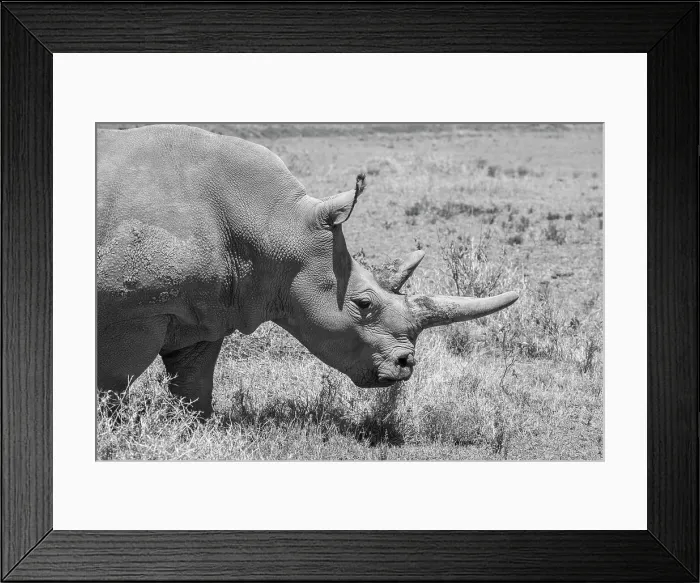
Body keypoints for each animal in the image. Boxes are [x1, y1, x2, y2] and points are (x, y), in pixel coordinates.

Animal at [97, 124, 518, 417]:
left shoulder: (207, 310)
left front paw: (195, 431)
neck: (274, 224)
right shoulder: (133, 311)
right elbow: (113, 383)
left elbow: (194, 385)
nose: (405, 366)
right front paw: (111, 433)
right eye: (364, 304)